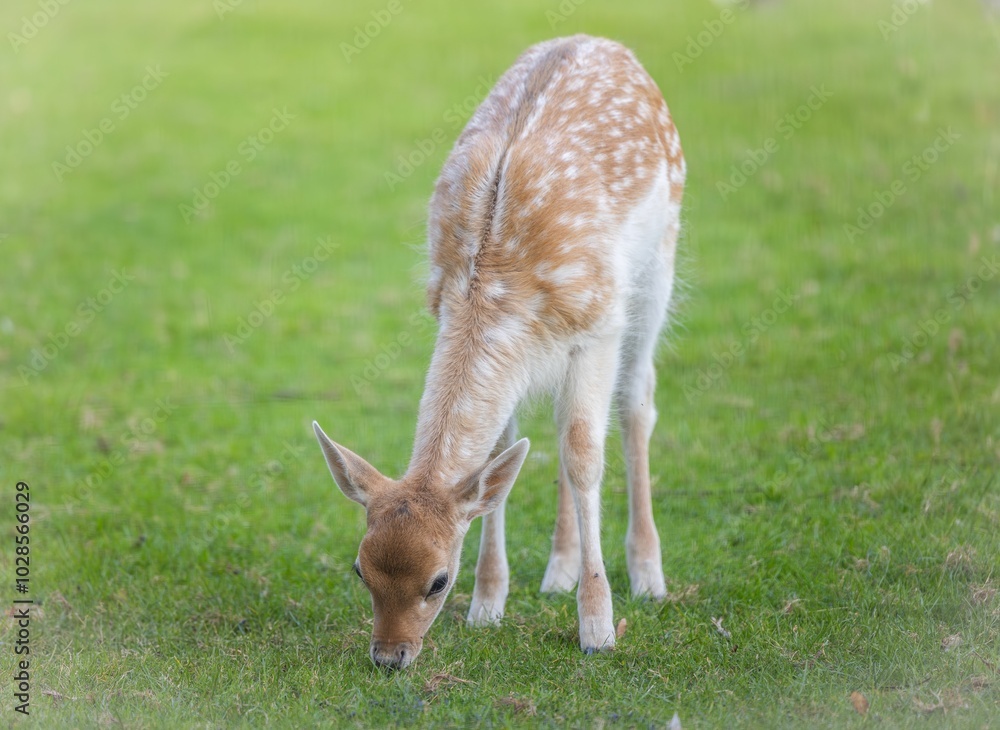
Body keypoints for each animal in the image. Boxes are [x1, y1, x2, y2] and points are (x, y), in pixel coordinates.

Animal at [313, 34, 685, 669]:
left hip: (659, 262)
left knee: (637, 401)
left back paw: (648, 574)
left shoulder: (598, 327)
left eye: (438, 580)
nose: (389, 656)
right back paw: (558, 571)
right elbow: (504, 457)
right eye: (360, 569)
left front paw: (597, 628)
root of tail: (602, 41)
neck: (494, 278)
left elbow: (584, 452)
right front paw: (489, 605)